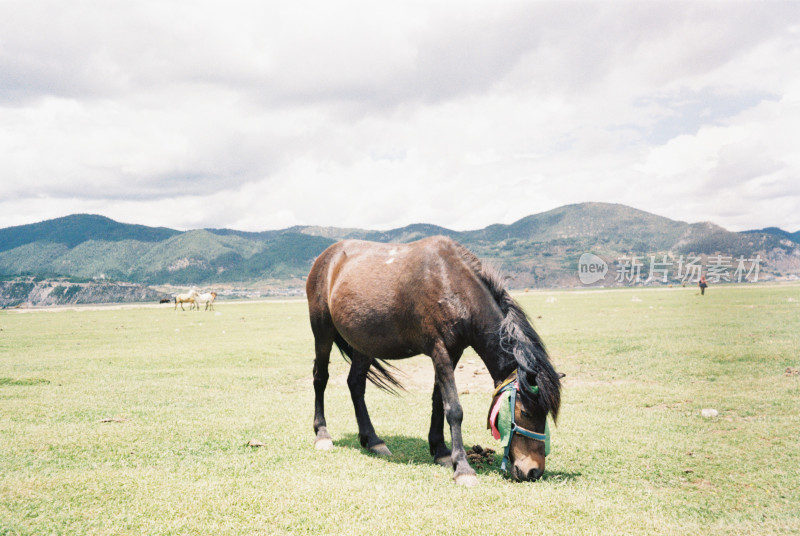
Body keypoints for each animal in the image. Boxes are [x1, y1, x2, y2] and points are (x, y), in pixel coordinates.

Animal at [306, 236, 564, 486]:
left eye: (544, 416)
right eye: (526, 413)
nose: (534, 471)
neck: (451, 283)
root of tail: (325, 258)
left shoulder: (454, 351)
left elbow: (439, 400)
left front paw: (440, 450)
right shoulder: (439, 349)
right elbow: (454, 409)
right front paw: (462, 468)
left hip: (364, 343)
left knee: (356, 384)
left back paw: (373, 440)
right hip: (322, 331)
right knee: (321, 378)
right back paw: (322, 434)